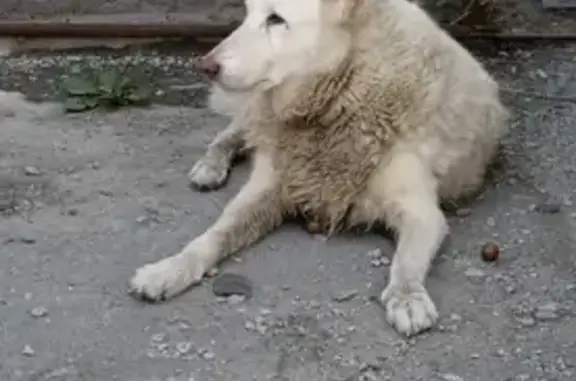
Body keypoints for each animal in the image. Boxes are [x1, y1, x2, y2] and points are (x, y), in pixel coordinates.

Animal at [128, 0, 506, 336]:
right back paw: (210, 165)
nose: (206, 66)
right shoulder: (267, 188)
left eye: (276, 19)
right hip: (253, 111)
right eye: (247, 14)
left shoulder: (421, 212)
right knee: (230, 133)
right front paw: (168, 270)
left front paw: (407, 297)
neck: (341, 93)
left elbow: (407, 261)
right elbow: (212, 236)